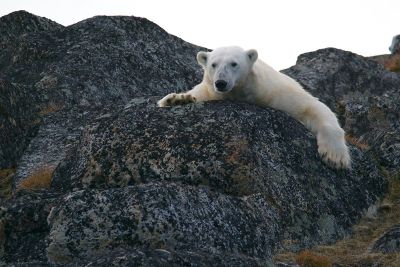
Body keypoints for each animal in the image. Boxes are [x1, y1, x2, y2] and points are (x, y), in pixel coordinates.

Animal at [158, 46, 352, 170]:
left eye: (234, 63)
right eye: (213, 64)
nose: (221, 82)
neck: (243, 92)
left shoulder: (277, 92)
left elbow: (313, 106)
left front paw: (335, 158)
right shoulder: (210, 91)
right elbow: (195, 94)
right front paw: (177, 99)